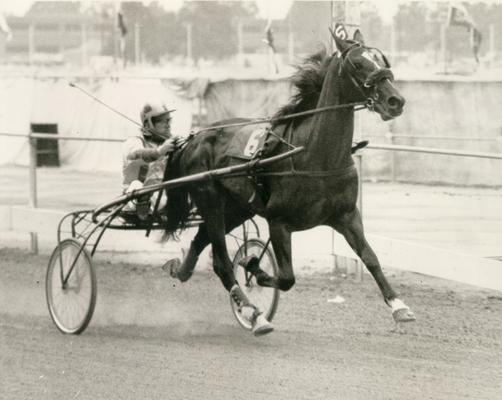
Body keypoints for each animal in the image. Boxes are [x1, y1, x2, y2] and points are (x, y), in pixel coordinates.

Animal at [165, 32, 416, 336]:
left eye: (382, 60)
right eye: (357, 64)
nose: (395, 100)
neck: (316, 154)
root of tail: (193, 138)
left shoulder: (347, 216)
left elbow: (371, 258)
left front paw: (399, 306)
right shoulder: (279, 222)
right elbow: (286, 278)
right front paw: (254, 267)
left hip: (237, 209)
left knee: (202, 240)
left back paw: (181, 269)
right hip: (211, 201)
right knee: (222, 262)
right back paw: (252, 312)